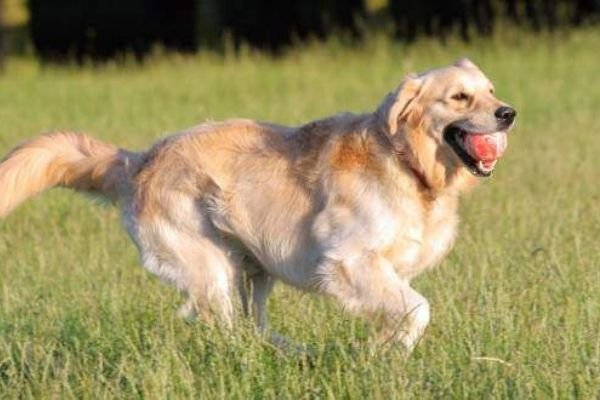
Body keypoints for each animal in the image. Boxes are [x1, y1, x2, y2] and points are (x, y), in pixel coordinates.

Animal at [0, 58, 516, 350]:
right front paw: (387, 353)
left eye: (491, 90)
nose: (508, 112)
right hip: (210, 266)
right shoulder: (348, 262)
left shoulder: (387, 272)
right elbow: (418, 309)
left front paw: (382, 352)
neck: (410, 165)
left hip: (255, 268)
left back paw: (296, 353)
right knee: (227, 333)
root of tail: (141, 159)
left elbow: (401, 309)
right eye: (460, 97)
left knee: (254, 328)